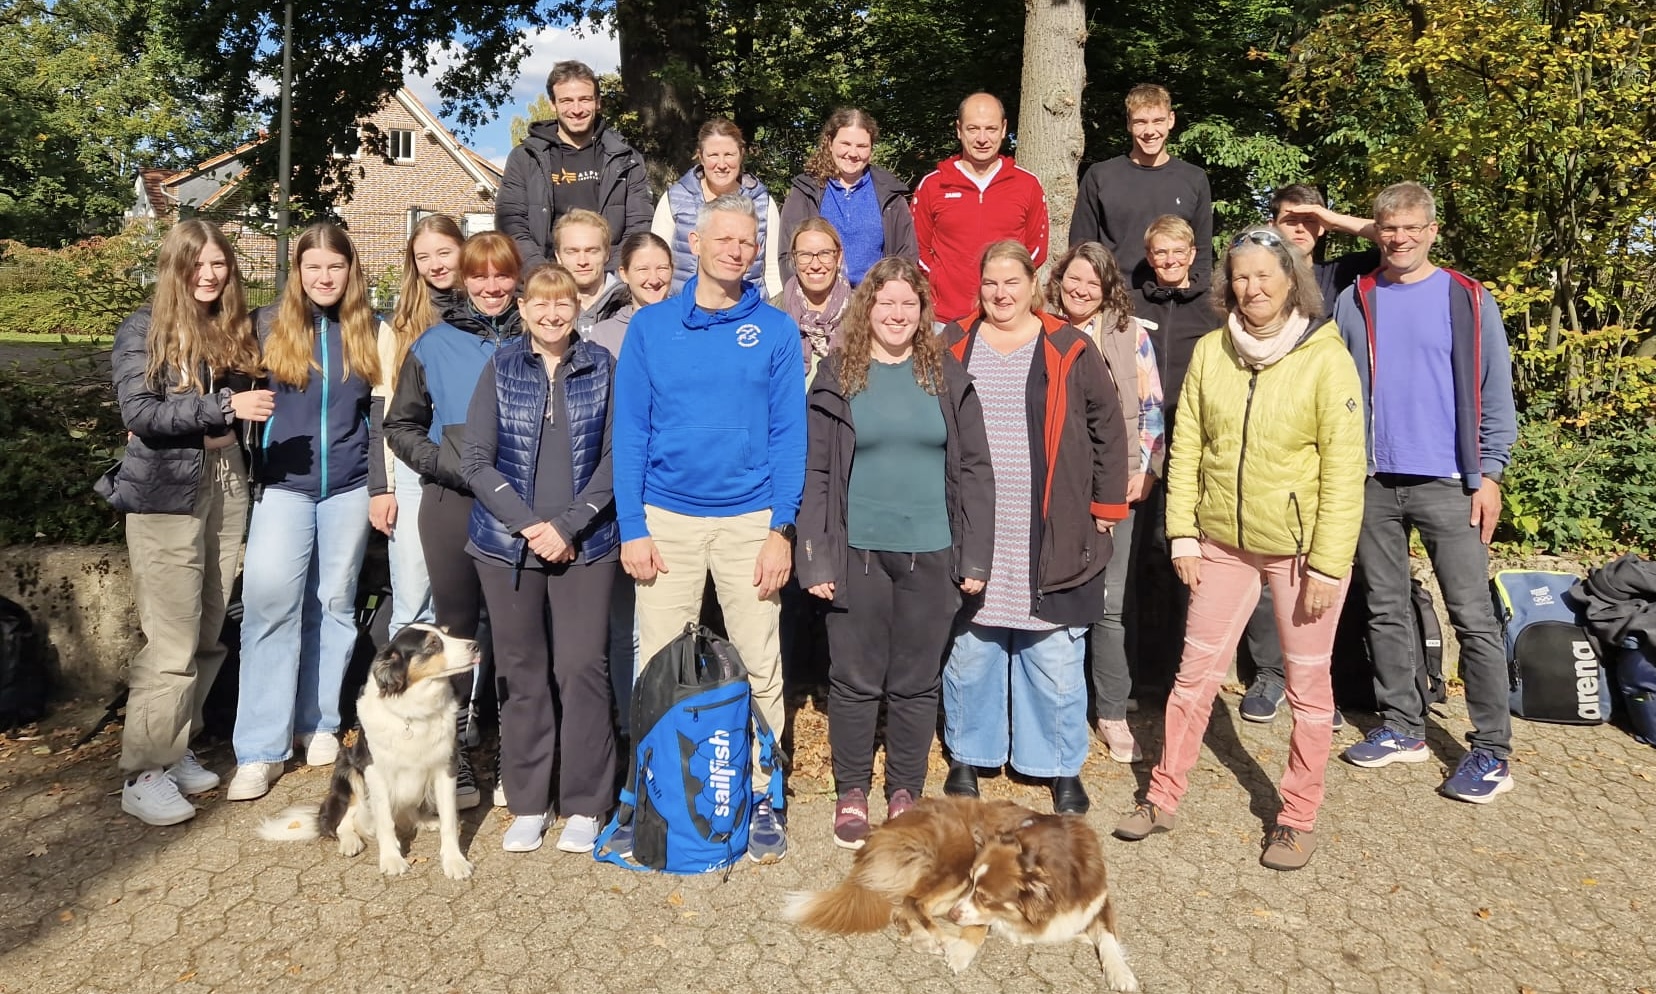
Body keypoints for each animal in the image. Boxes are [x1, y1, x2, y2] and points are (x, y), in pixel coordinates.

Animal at [255, 626, 480, 881]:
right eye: (433, 644)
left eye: (447, 633)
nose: (476, 646)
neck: (414, 713)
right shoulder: (374, 771)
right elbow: (385, 822)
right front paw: (392, 859)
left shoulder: (445, 767)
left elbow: (449, 820)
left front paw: (454, 861)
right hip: (349, 771)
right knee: (343, 822)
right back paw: (350, 842)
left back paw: (427, 820)